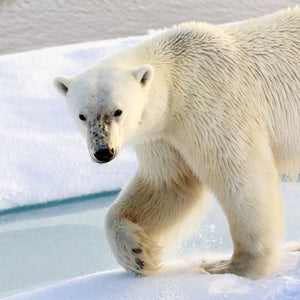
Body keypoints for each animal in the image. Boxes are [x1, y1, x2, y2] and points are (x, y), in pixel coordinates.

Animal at [54, 7, 300, 278]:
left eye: (118, 111)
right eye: (82, 116)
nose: (103, 152)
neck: (178, 76)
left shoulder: (214, 104)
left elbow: (241, 175)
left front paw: (232, 266)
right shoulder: (163, 135)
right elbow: (169, 184)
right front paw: (137, 253)